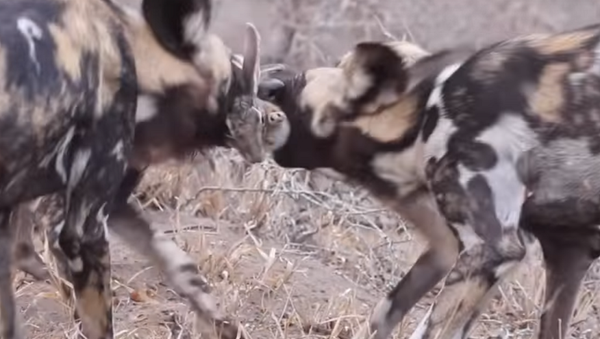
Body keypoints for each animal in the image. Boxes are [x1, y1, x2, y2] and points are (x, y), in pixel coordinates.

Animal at [0, 0, 272, 338]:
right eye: (235, 89)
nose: (263, 127)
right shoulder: (80, 230)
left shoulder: (109, 205)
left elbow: (181, 266)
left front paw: (222, 324)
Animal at [258, 25, 600, 339]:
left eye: (295, 91)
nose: (265, 84)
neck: (422, 116)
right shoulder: (562, 255)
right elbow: (386, 311)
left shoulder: (491, 250)